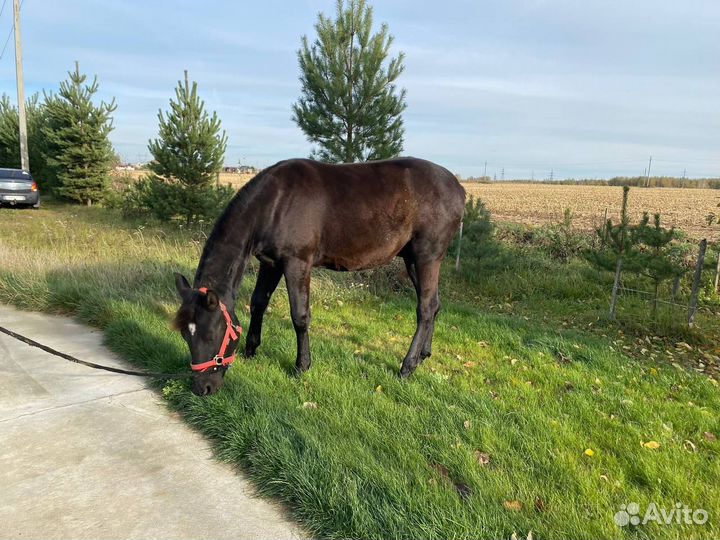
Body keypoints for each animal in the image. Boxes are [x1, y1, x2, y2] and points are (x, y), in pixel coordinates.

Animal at [174, 157, 465, 396]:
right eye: (186, 335)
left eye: (210, 335)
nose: (203, 388)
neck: (275, 202)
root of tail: (458, 187)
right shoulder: (270, 264)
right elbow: (258, 303)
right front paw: (251, 349)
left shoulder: (297, 263)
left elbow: (300, 316)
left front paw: (302, 366)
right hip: (412, 259)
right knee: (434, 305)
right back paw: (424, 354)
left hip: (427, 257)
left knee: (424, 309)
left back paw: (407, 366)